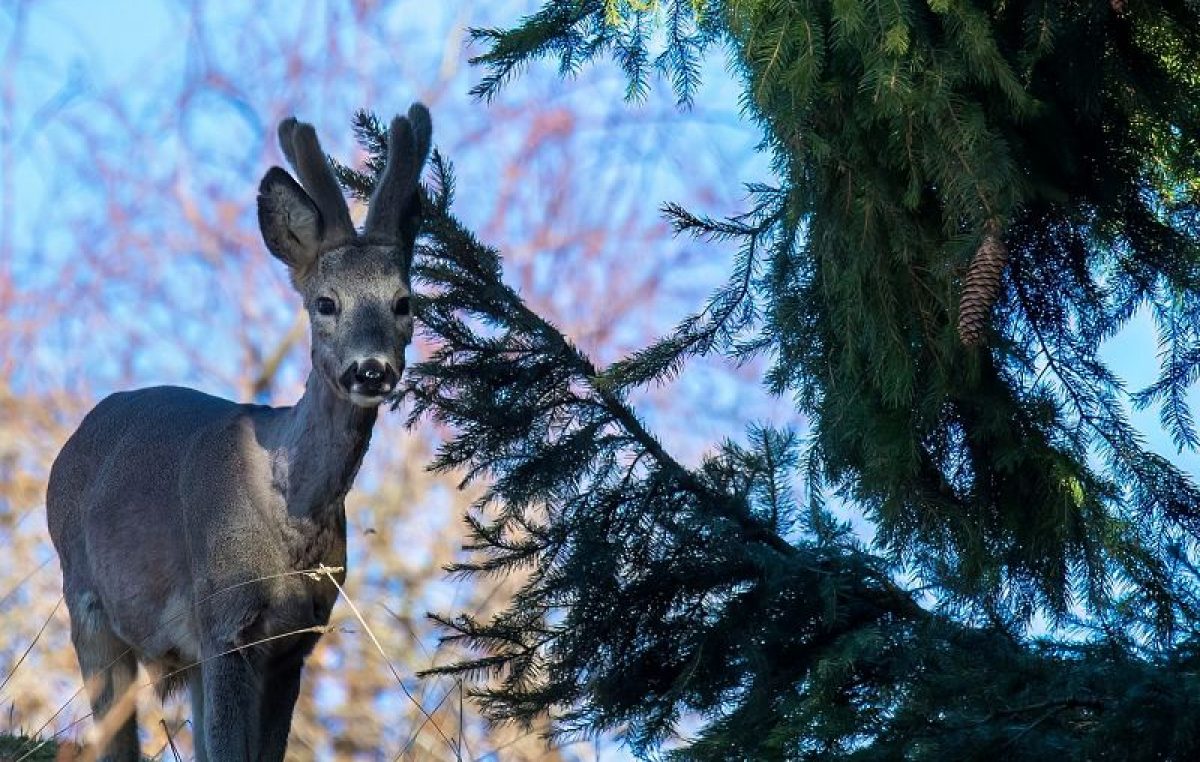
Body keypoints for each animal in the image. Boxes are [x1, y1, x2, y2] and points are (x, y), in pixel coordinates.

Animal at [46, 102, 432, 762]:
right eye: (325, 302)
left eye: (404, 303)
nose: (371, 369)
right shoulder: (224, 618)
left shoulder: (294, 640)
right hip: (87, 601)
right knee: (113, 733)